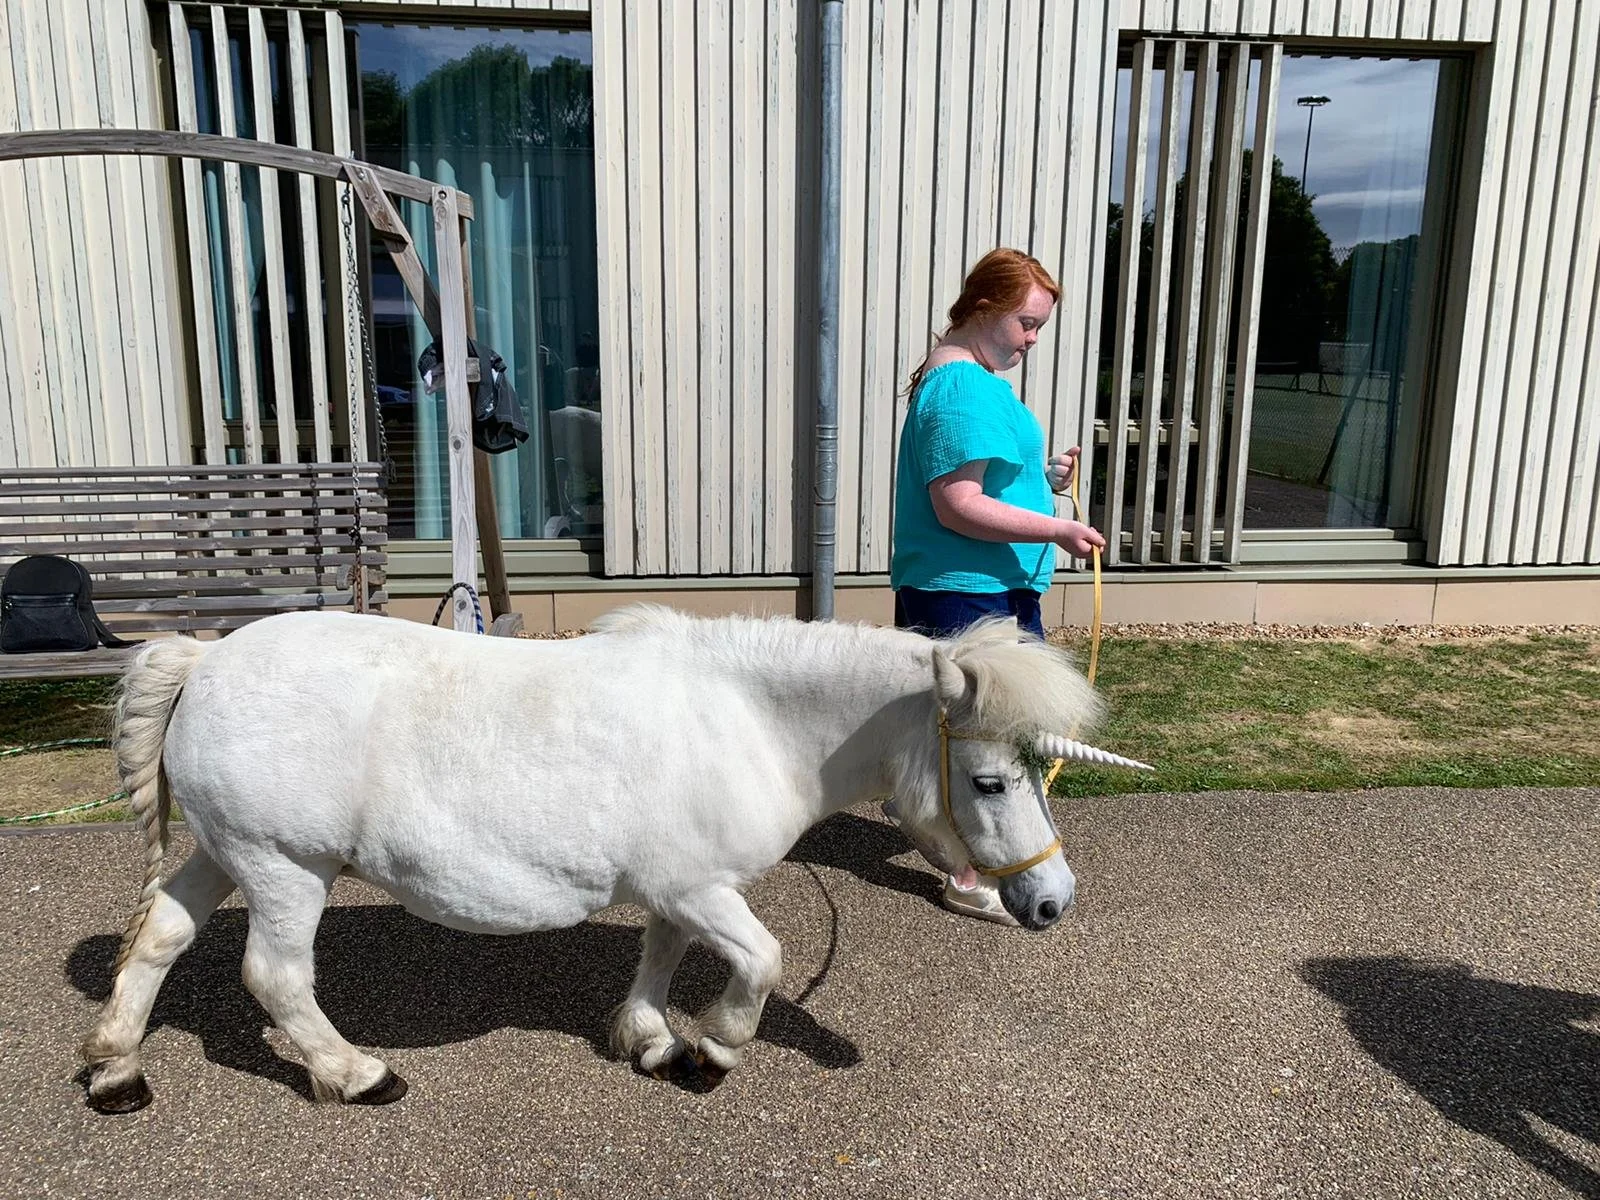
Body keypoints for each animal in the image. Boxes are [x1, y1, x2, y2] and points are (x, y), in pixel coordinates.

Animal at [80, 606, 1148, 1113]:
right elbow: (758, 963)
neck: (747, 718)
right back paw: (354, 1074)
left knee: (161, 934)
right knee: (276, 976)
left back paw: (115, 1067)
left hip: (224, 853)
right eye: (992, 783)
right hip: (283, 866)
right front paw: (712, 1049)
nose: (1052, 901)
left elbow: (660, 957)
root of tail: (206, 660)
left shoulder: (681, 885)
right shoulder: (705, 887)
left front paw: (647, 1037)